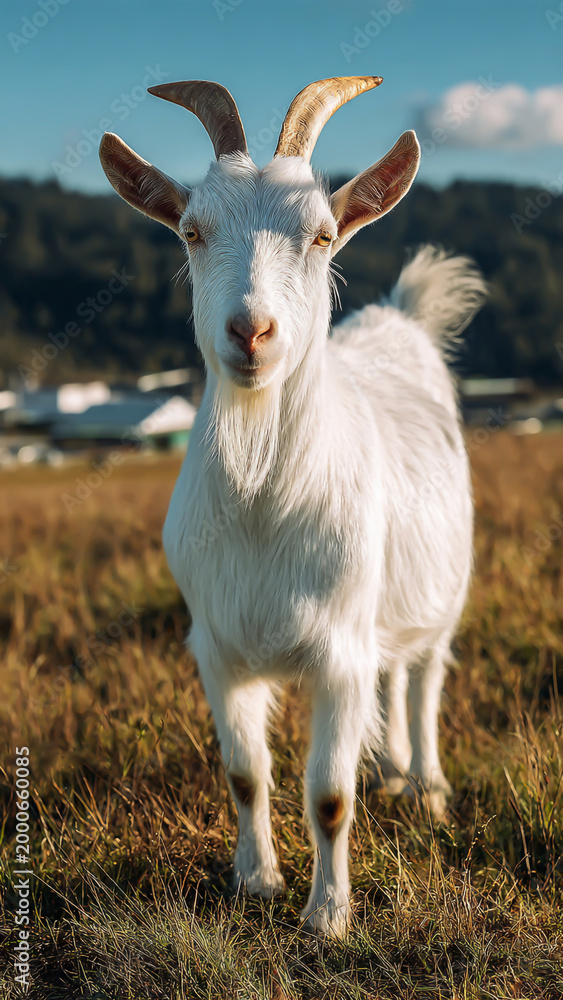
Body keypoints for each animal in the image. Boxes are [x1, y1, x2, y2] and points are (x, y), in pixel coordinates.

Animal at [99, 76, 486, 938]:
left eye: (321, 235)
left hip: (439, 599)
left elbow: (329, 796)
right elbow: (245, 775)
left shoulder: (337, 653)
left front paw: (327, 916)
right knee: (392, 680)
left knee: (422, 681)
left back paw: (428, 788)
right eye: (191, 230)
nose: (251, 331)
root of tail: (397, 317)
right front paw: (256, 882)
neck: (261, 502)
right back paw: (394, 772)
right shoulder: (216, 647)